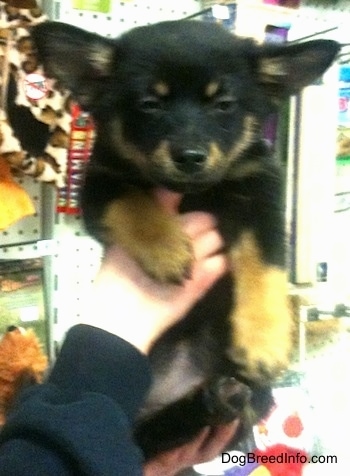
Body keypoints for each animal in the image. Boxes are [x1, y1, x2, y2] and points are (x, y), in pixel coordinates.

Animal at [32, 21, 340, 458]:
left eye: (223, 105)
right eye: (149, 104)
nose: (190, 157)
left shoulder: (260, 197)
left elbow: (264, 268)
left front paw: (262, 341)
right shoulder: (101, 184)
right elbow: (135, 202)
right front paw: (168, 250)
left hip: (257, 394)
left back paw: (222, 396)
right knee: (151, 435)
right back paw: (209, 401)